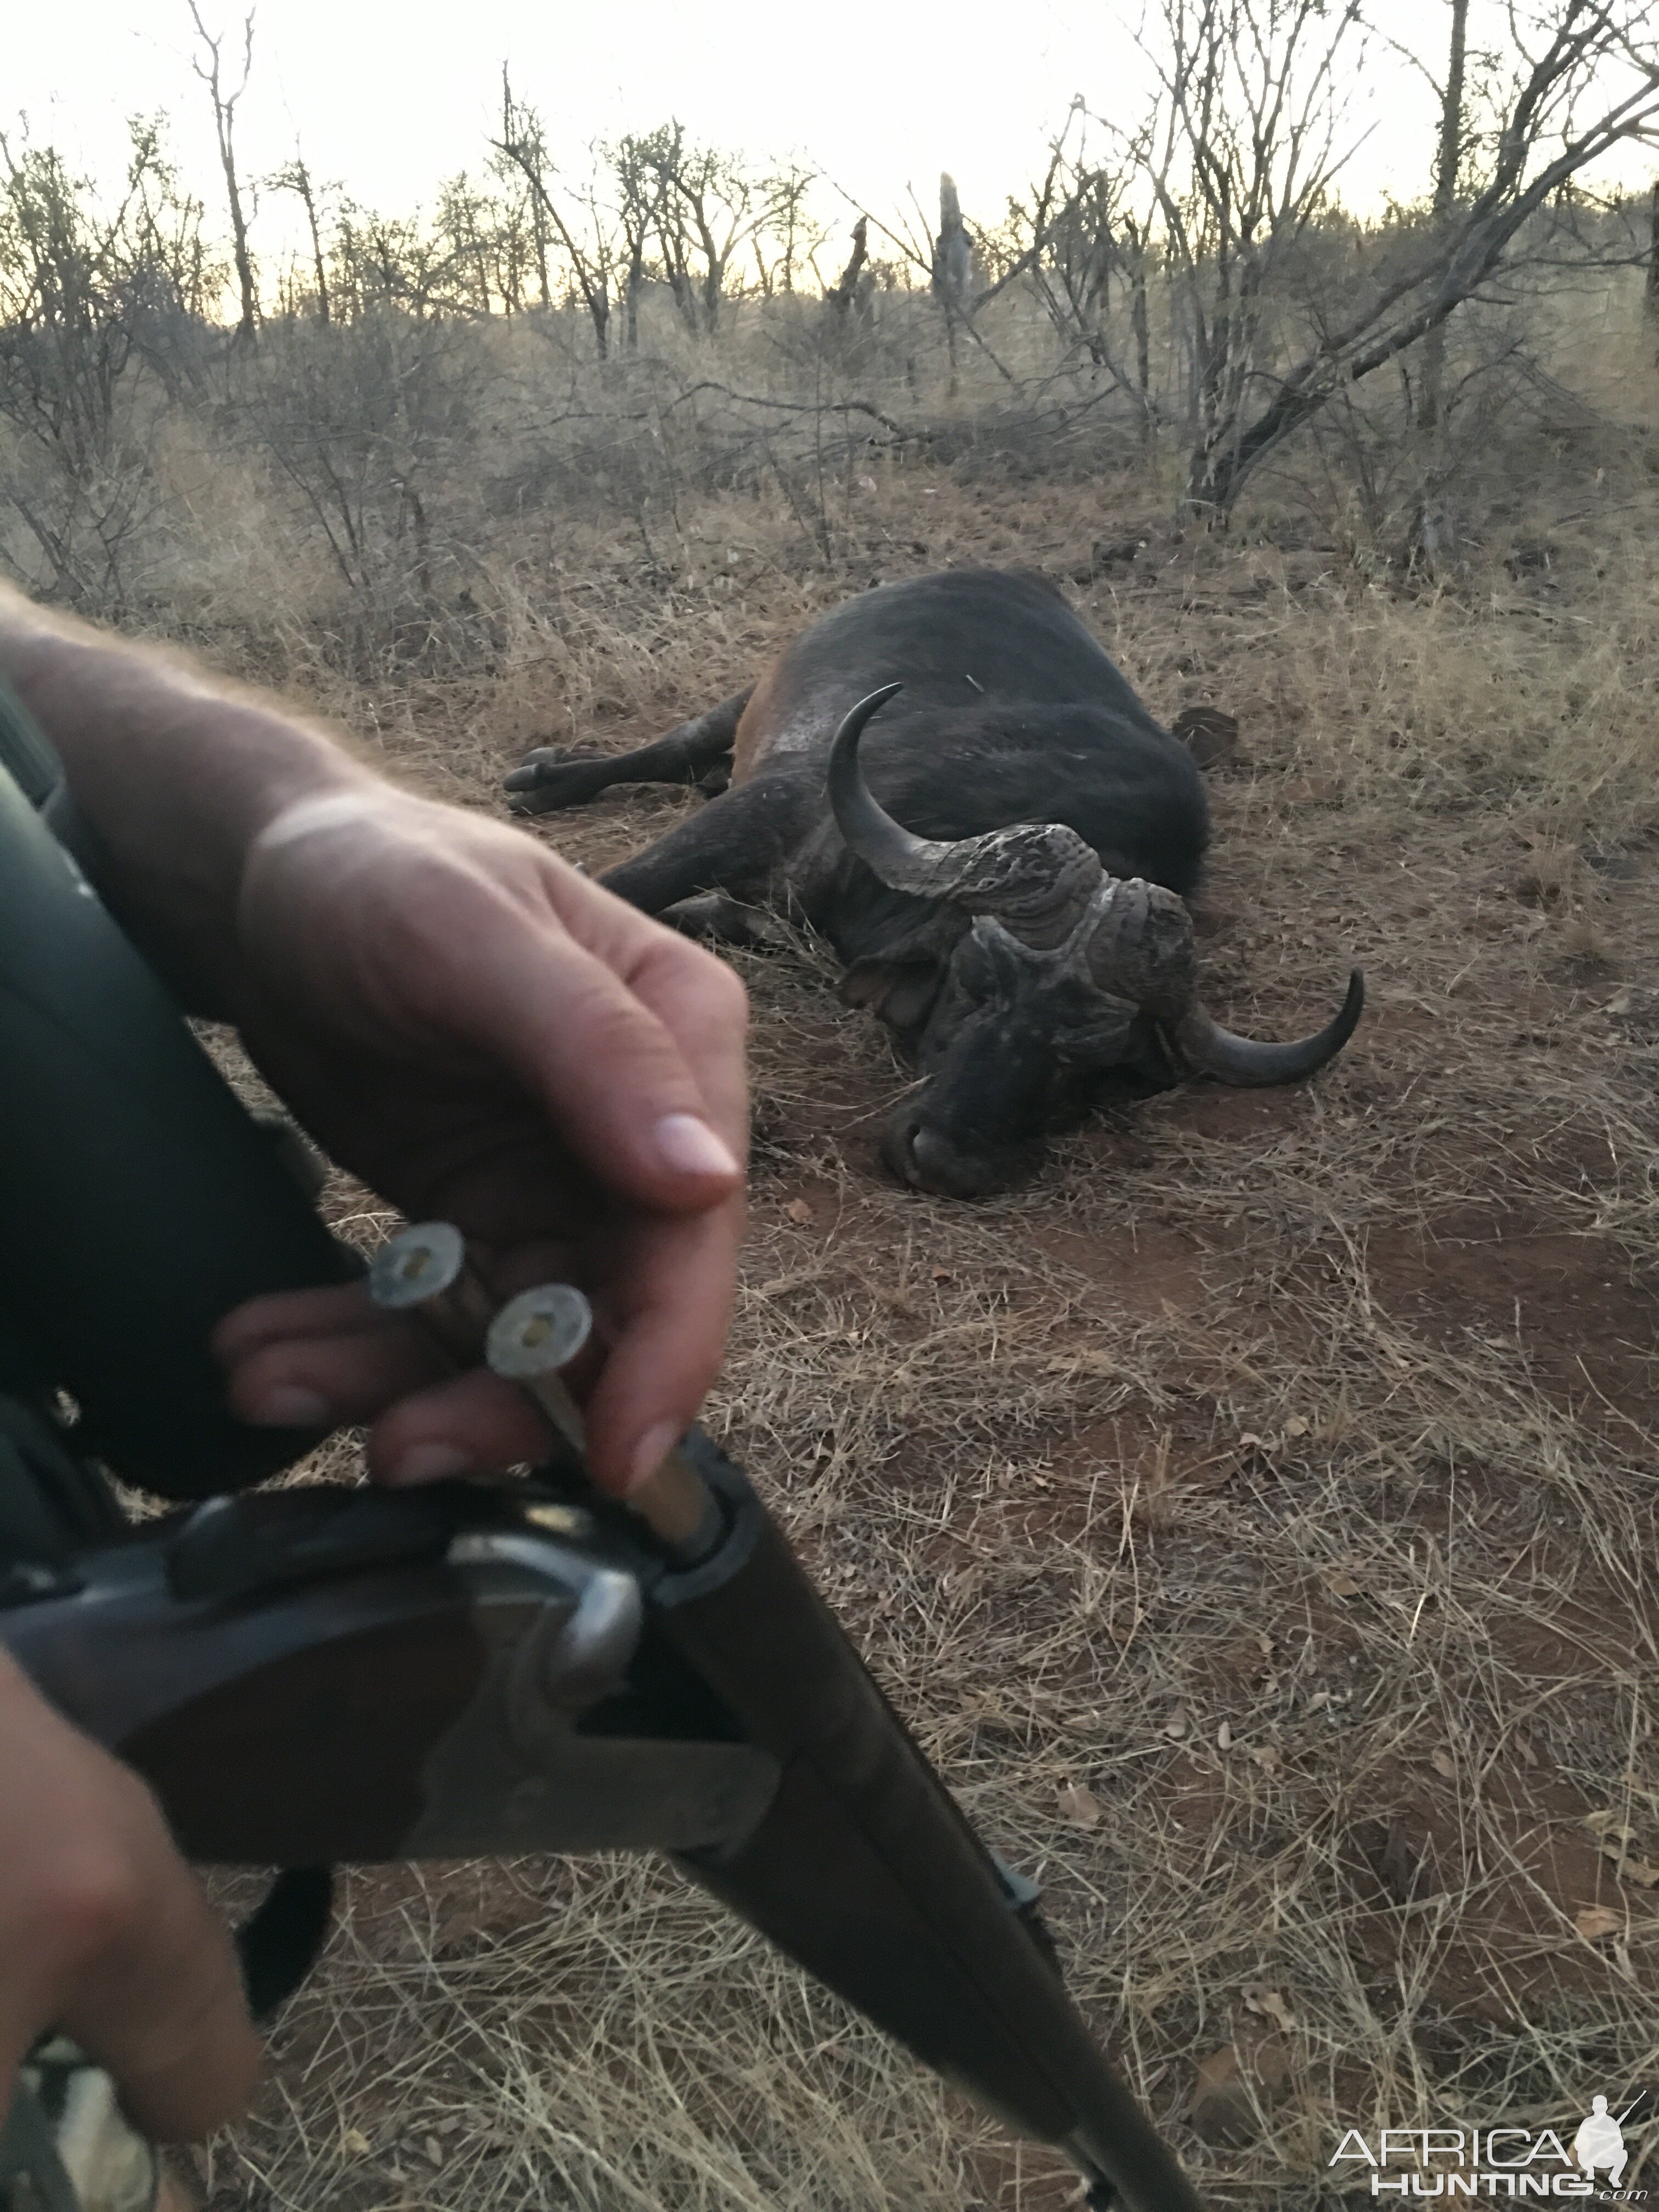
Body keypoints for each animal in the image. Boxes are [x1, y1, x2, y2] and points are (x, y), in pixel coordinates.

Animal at [506, 566, 1362, 1194]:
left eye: (1088, 1056)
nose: (946, 1158)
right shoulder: (769, 807)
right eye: (976, 980)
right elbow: (629, 887)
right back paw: (544, 779)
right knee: (675, 749)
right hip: (740, 707)